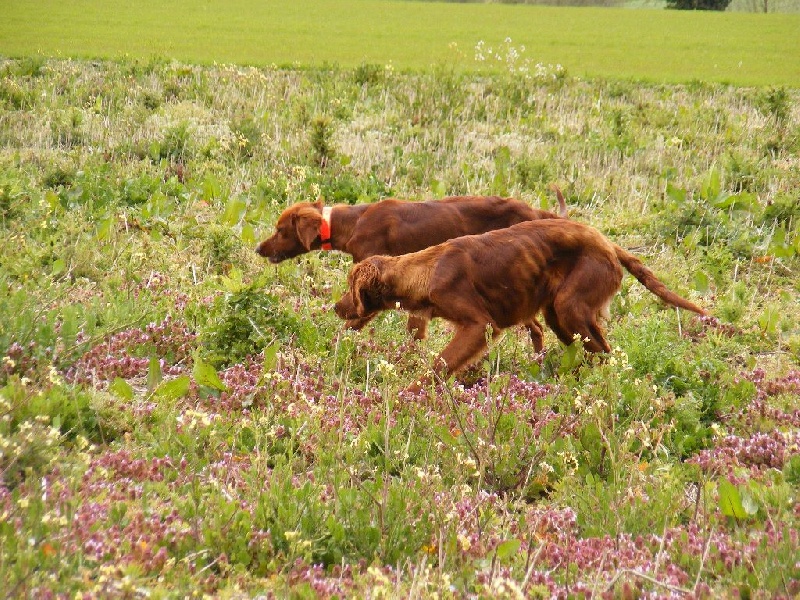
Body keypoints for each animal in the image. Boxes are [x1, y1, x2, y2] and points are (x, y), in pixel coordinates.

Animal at [334, 220, 704, 384]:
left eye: (350, 288)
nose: (335, 307)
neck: (427, 270)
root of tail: (607, 244)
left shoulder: (479, 324)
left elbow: (439, 364)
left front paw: (410, 394)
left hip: (570, 305)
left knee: (604, 352)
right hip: (558, 316)